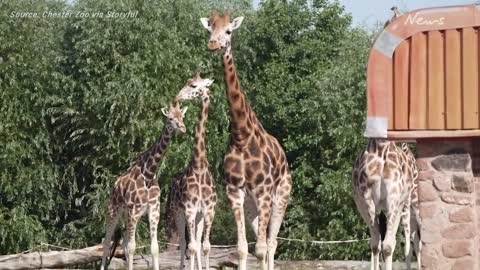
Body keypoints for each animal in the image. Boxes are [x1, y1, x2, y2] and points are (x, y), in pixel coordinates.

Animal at [100, 102, 188, 270]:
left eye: (182, 116)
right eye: (170, 118)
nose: (182, 128)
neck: (148, 174)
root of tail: (114, 187)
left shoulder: (153, 210)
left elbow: (154, 247)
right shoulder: (133, 211)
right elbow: (132, 247)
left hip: (129, 215)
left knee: (123, 242)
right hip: (114, 212)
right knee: (107, 243)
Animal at [166, 71, 217, 270]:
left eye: (194, 85)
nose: (177, 97)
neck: (199, 166)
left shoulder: (208, 210)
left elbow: (205, 246)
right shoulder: (188, 209)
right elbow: (192, 246)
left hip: (198, 216)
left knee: (195, 242)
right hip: (178, 213)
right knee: (182, 243)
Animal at [200, 9, 292, 270]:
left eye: (229, 31)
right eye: (210, 29)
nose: (213, 44)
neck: (242, 136)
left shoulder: (264, 191)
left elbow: (260, 249)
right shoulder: (235, 192)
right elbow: (242, 249)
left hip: (280, 196)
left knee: (271, 243)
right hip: (253, 206)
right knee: (266, 242)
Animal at [352, 139, 416, 270]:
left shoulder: (393, 198)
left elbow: (387, 246)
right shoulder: (367, 199)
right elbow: (376, 245)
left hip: (406, 204)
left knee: (407, 241)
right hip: (369, 207)